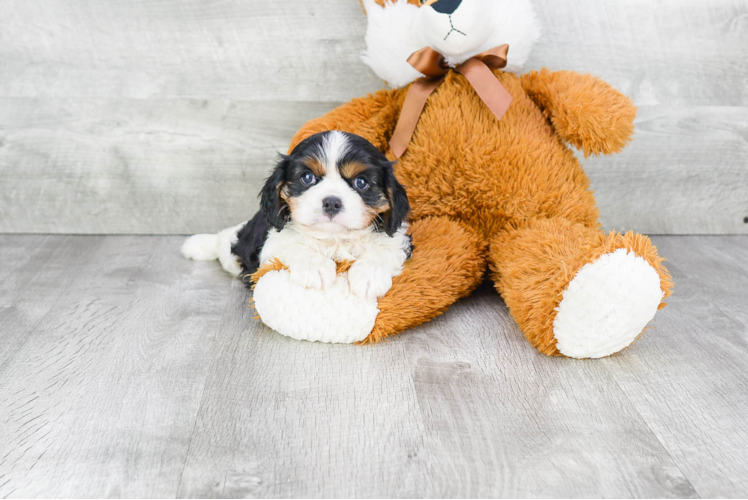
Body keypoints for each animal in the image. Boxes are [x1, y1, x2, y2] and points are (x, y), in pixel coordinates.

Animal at [183, 131, 412, 298]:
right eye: (307, 177)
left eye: (361, 182)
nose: (331, 202)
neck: (333, 239)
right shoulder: (272, 243)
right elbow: (294, 245)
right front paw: (315, 267)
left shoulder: (400, 240)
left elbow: (384, 250)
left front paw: (369, 275)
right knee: (224, 240)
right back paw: (196, 245)